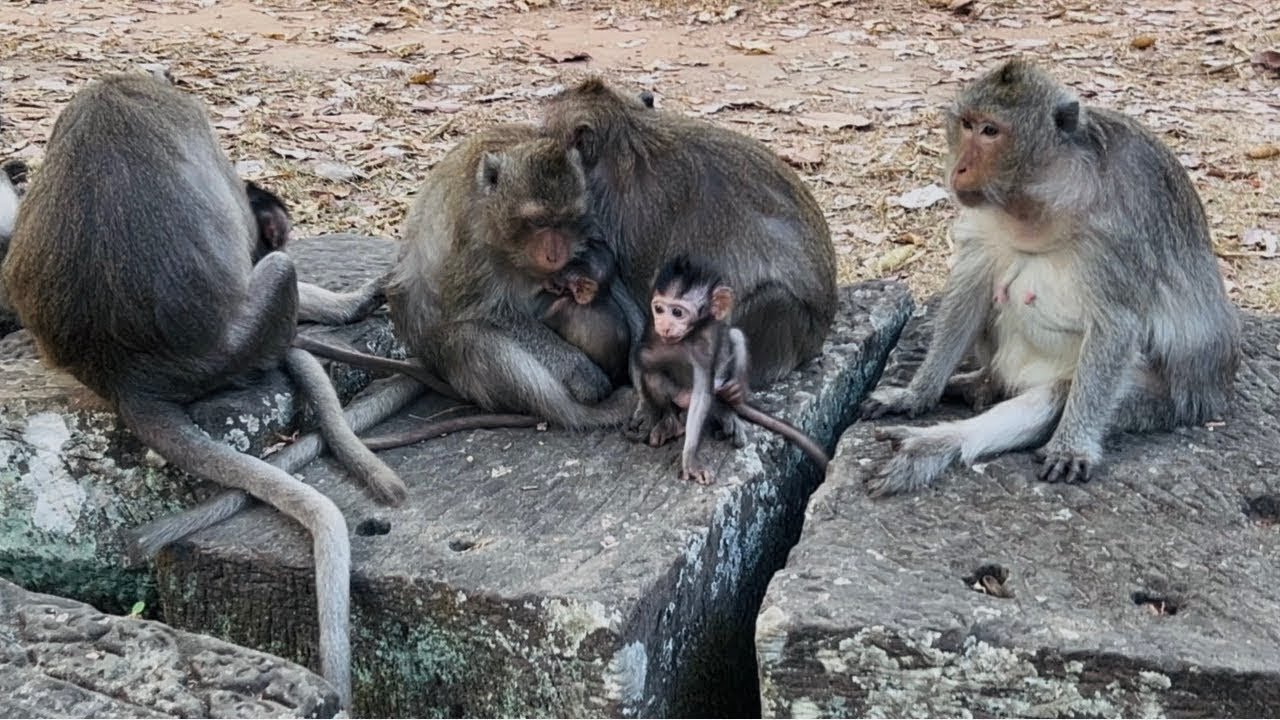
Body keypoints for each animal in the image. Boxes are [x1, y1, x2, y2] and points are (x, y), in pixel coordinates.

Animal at [540, 78, 837, 441]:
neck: (628, 140)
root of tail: (816, 341)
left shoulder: (624, 219)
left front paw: (651, 407)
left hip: (788, 332)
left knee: (771, 301)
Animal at [633, 255, 830, 485]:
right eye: (658, 309)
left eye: (677, 312)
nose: (664, 326)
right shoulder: (652, 334)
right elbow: (642, 362)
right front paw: (649, 411)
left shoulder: (704, 345)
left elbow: (702, 394)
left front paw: (690, 459)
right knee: (655, 376)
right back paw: (671, 420)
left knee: (734, 337)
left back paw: (728, 404)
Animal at [858, 58, 1240, 496]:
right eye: (967, 125)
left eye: (991, 131)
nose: (959, 168)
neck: (1044, 194)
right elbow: (969, 291)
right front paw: (916, 393)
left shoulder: (1119, 229)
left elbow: (1116, 324)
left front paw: (1071, 447)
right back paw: (978, 385)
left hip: (1167, 402)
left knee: (1062, 393)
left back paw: (938, 443)